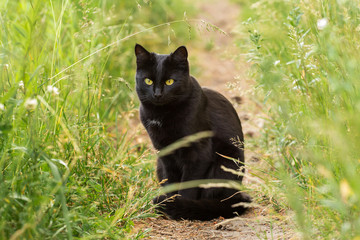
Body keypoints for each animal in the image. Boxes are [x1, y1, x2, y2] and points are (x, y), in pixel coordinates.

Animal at [135, 44, 250, 220]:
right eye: (148, 81)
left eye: (170, 81)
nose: (157, 94)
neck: (162, 115)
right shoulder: (165, 153)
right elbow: (172, 180)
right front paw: (171, 201)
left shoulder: (198, 153)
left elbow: (188, 185)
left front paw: (180, 206)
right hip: (159, 164)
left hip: (226, 162)